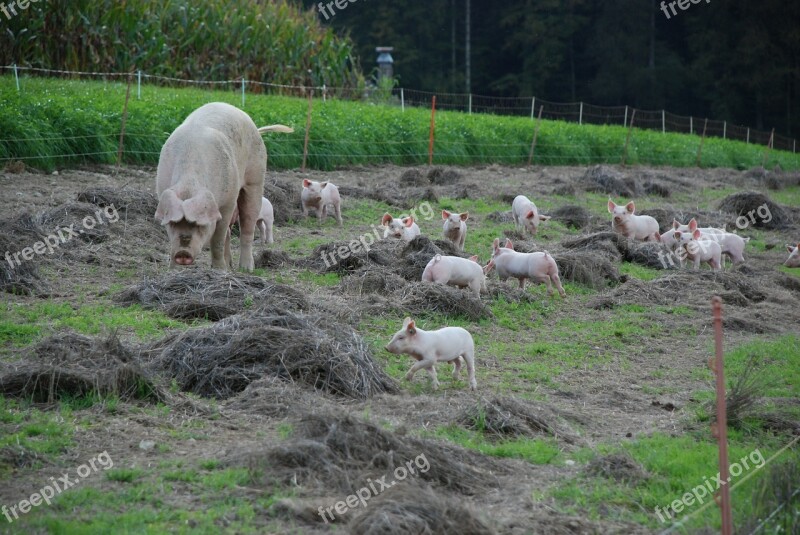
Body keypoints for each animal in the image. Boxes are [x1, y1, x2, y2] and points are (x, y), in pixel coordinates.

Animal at [155, 102, 292, 270]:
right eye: (173, 223)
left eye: (201, 225)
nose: (183, 253)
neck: (189, 184)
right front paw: (173, 270)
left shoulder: (227, 203)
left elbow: (217, 239)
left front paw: (219, 270)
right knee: (229, 233)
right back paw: (230, 265)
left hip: (256, 177)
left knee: (248, 225)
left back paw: (245, 268)